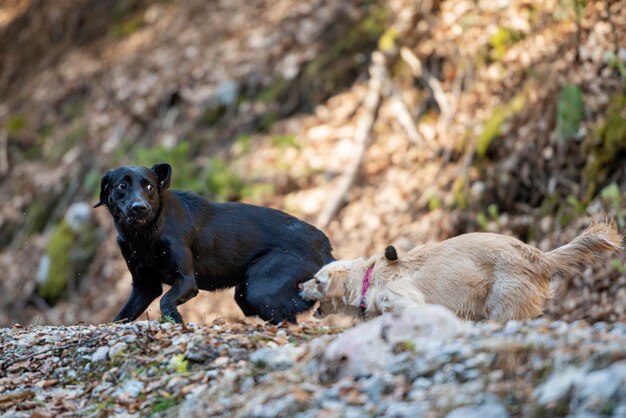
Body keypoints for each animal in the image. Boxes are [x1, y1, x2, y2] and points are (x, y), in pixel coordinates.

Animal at [93, 163, 334, 324]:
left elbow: (166, 302)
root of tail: (323, 241)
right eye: (122, 186)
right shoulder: (145, 286)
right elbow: (121, 317)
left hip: (260, 289)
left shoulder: (186, 281)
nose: (139, 208)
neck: (144, 235)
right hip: (245, 292)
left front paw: (176, 323)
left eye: (150, 187)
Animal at [300, 222, 620, 320]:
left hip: (501, 306)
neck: (370, 281)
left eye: (317, 280)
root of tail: (535, 255)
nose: (298, 286)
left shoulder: (410, 304)